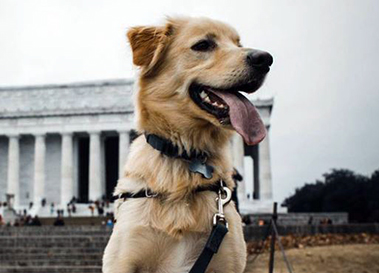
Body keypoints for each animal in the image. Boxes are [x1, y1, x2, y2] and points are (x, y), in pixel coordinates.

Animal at [102, 15, 272, 270]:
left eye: (238, 44)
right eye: (203, 45)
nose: (265, 59)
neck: (186, 153)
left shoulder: (226, 258)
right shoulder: (124, 259)